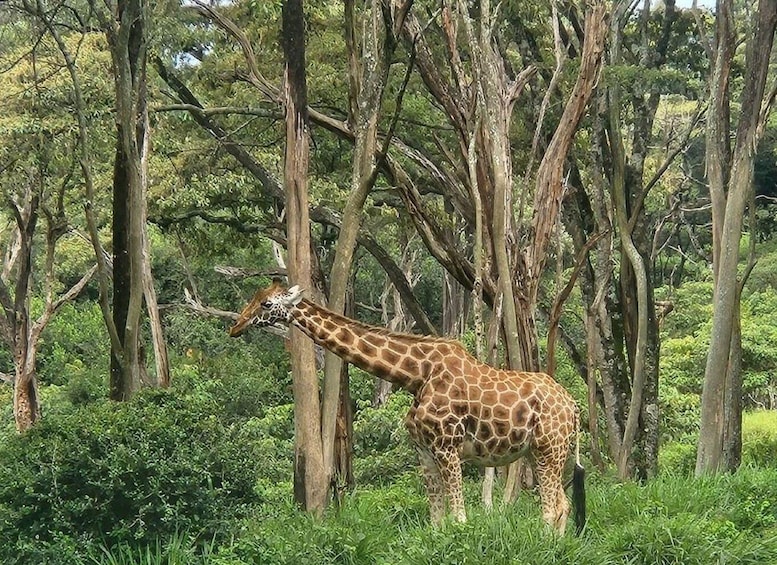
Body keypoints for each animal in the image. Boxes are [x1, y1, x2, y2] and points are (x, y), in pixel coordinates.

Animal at [229, 280, 586, 534]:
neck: (416, 376)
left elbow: (459, 518)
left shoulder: (447, 446)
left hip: (549, 448)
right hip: (539, 452)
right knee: (563, 505)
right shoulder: (424, 449)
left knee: (553, 508)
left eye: (265, 303)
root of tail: (573, 407)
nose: (235, 326)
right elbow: (437, 520)